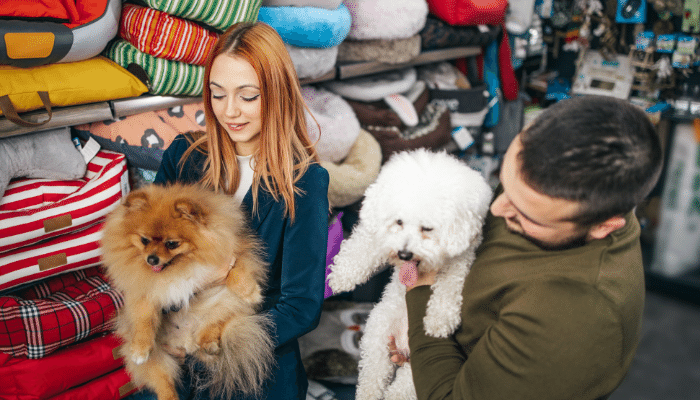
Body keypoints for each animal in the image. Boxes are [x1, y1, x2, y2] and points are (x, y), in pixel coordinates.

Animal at [102, 184, 276, 400]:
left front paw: (249, 292)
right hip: (160, 357)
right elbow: (144, 319)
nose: (151, 259)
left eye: (172, 243)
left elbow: (236, 272)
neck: (180, 267)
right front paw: (140, 348)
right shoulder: (145, 290)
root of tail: (185, 343)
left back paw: (209, 344)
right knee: (164, 381)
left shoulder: (236, 255)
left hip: (224, 303)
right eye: (144, 240)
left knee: (212, 326)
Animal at [328, 149, 492, 400]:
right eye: (399, 221)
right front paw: (342, 275)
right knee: (372, 378)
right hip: (378, 335)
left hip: (420, 373)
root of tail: (404, 346)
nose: (404, 254)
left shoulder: (462, 257)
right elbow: (364, 246)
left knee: (401, 390)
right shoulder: (381, 235)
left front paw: (439, 319)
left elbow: (449, 284)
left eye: (427, 228)